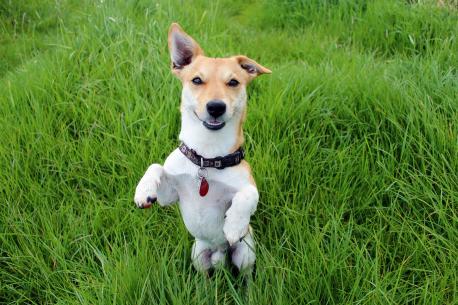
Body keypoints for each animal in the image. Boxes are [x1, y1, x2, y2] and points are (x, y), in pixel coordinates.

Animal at [135, 22, 272, 272]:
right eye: (197, 80)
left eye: (233, 82)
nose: (216, 107)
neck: (206, 158)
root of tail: (220, 253)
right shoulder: (169, 195)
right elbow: (155, 166)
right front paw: (143, 191)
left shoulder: (247, 186)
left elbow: (250, 193)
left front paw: (234, 224)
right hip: (198, 254)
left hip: (246, 253)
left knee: (246, 273)